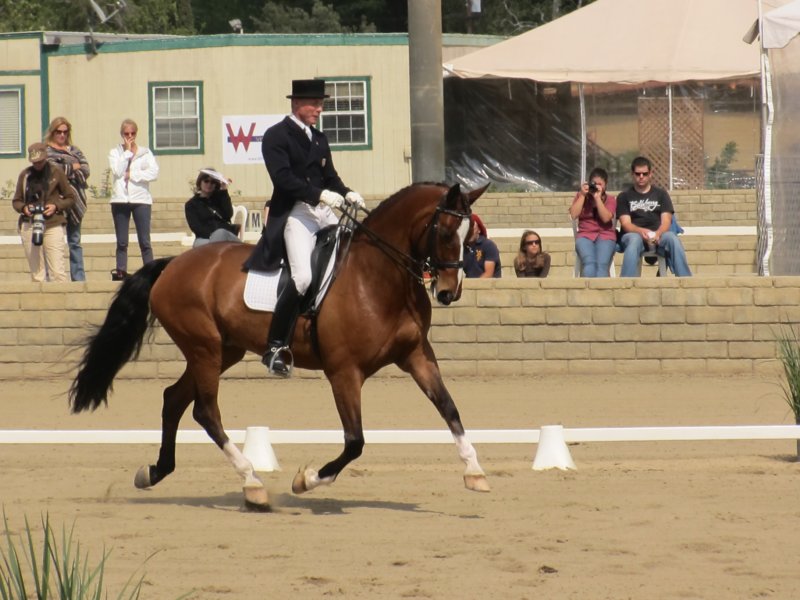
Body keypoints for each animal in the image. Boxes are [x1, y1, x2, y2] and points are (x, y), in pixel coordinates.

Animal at [69, 182, 491, 510]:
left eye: (470, 238)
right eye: (446, 231)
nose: (448, 292)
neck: (378, 276)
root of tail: (173, 264)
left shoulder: (417, 355)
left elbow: (450, 409)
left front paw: (475, 472)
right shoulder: (344, 372)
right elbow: (355, 441)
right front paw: (306, 480)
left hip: (224, 351)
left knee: (173, 399)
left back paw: (155, 471)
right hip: (204, 349)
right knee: (205, 411)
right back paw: (252, 483)